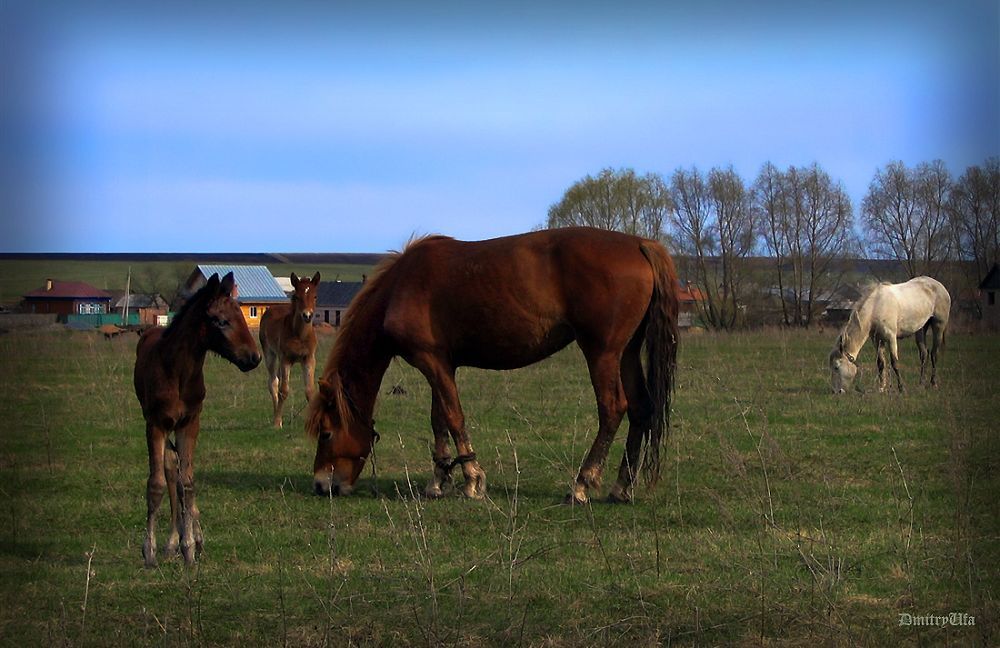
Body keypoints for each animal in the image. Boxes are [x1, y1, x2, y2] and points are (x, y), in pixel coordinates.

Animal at [134, 270, 262, 564]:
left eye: (242, 315)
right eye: (221, 321)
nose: (254, 357)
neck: (178, 372)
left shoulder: (190, 423)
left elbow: (188, 483)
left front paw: (189, 546)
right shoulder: (155, 424)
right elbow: (156, 483)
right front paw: (149, 551)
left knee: (179, 474)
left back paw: (186, 536)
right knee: (170, 467)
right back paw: (171, 540)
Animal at [258, 270, 320, 428]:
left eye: (315, 296)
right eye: (297, 296)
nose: (307, 315)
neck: (300, 335)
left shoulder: (309, 359)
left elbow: (310, 391)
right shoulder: (285, 359)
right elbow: (284, 390)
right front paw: (277, 423)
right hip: (271, 355)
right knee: (273, 383)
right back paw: (276, 416)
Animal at [304, 228, 680, 506]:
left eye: (326, 433)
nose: (322, 485)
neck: (401, 286)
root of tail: (639, 244)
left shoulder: (431, 362)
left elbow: (454, 418)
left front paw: (472, 480)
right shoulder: (441, 364)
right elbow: (439, 420)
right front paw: (439, 481)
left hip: (602, 353)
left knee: (613, 409)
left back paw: (582, 484)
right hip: (626, 352)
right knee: (641, 409)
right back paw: (621, 487)